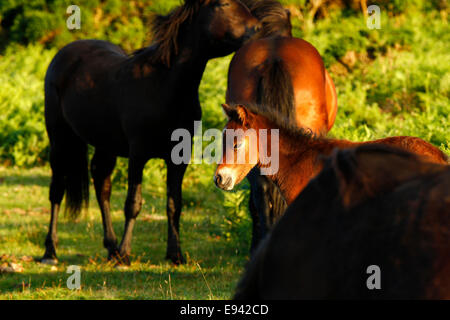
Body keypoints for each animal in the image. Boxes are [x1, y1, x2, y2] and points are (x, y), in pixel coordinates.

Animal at [42, 0, 260, 264]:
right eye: (223, 4)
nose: (258, 29)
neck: (164, 85)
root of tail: (63, 54)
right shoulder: (138, 155)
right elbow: (133, 203)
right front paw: (126, 253)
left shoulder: (179, 159)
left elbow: (175, 204)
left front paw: (175, 254)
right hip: (59, 138)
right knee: (57, 190)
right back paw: (51, 252)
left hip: (105, 146)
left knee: (102, 186)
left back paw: (111, 247)